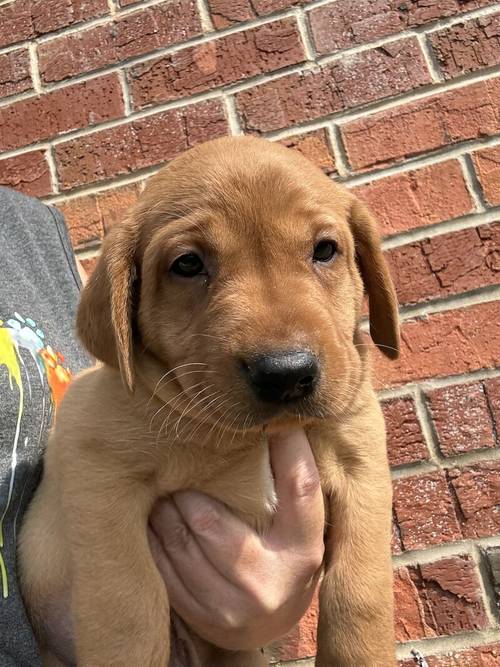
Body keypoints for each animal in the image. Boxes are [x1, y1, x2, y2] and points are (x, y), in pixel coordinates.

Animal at [19, 137, 400, 667]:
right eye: (187, 264)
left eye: (325, 250)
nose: (286, 373)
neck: (247, 438)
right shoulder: (96, 471)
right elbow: (126, 605)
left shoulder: (361, 459)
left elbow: (361, 588)